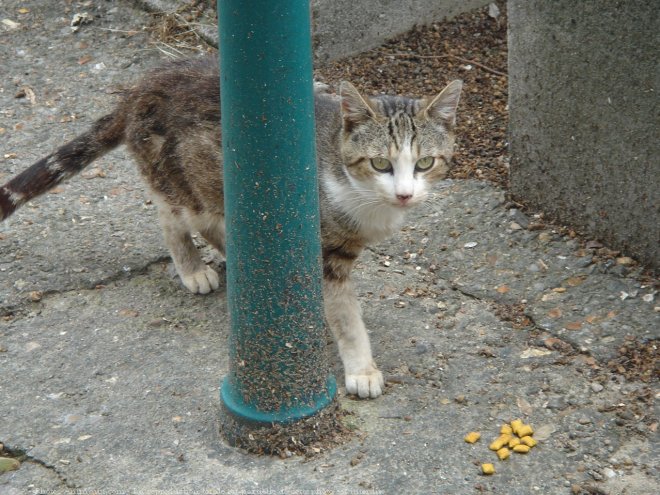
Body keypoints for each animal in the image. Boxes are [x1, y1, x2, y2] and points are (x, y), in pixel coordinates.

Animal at [1, 57, 464, 400]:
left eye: (425, 163)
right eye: (380, 163)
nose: (404, 194)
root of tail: (139, 88)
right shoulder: (322, 251)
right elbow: (345, 315)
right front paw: (361, 368)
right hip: (185, 183)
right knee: (173, 217)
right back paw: (193, 268)